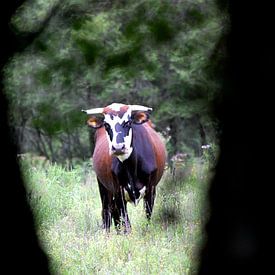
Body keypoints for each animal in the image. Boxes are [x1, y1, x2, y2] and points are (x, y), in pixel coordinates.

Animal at [83, 102, 167, 234]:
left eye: (128, 122)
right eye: (106, 125)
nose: (118, 147)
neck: (131, 168)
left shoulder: (151, 189)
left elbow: (147, 217)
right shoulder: (118, 192)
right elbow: (126, 223)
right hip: (103, 186)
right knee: (107, 211)